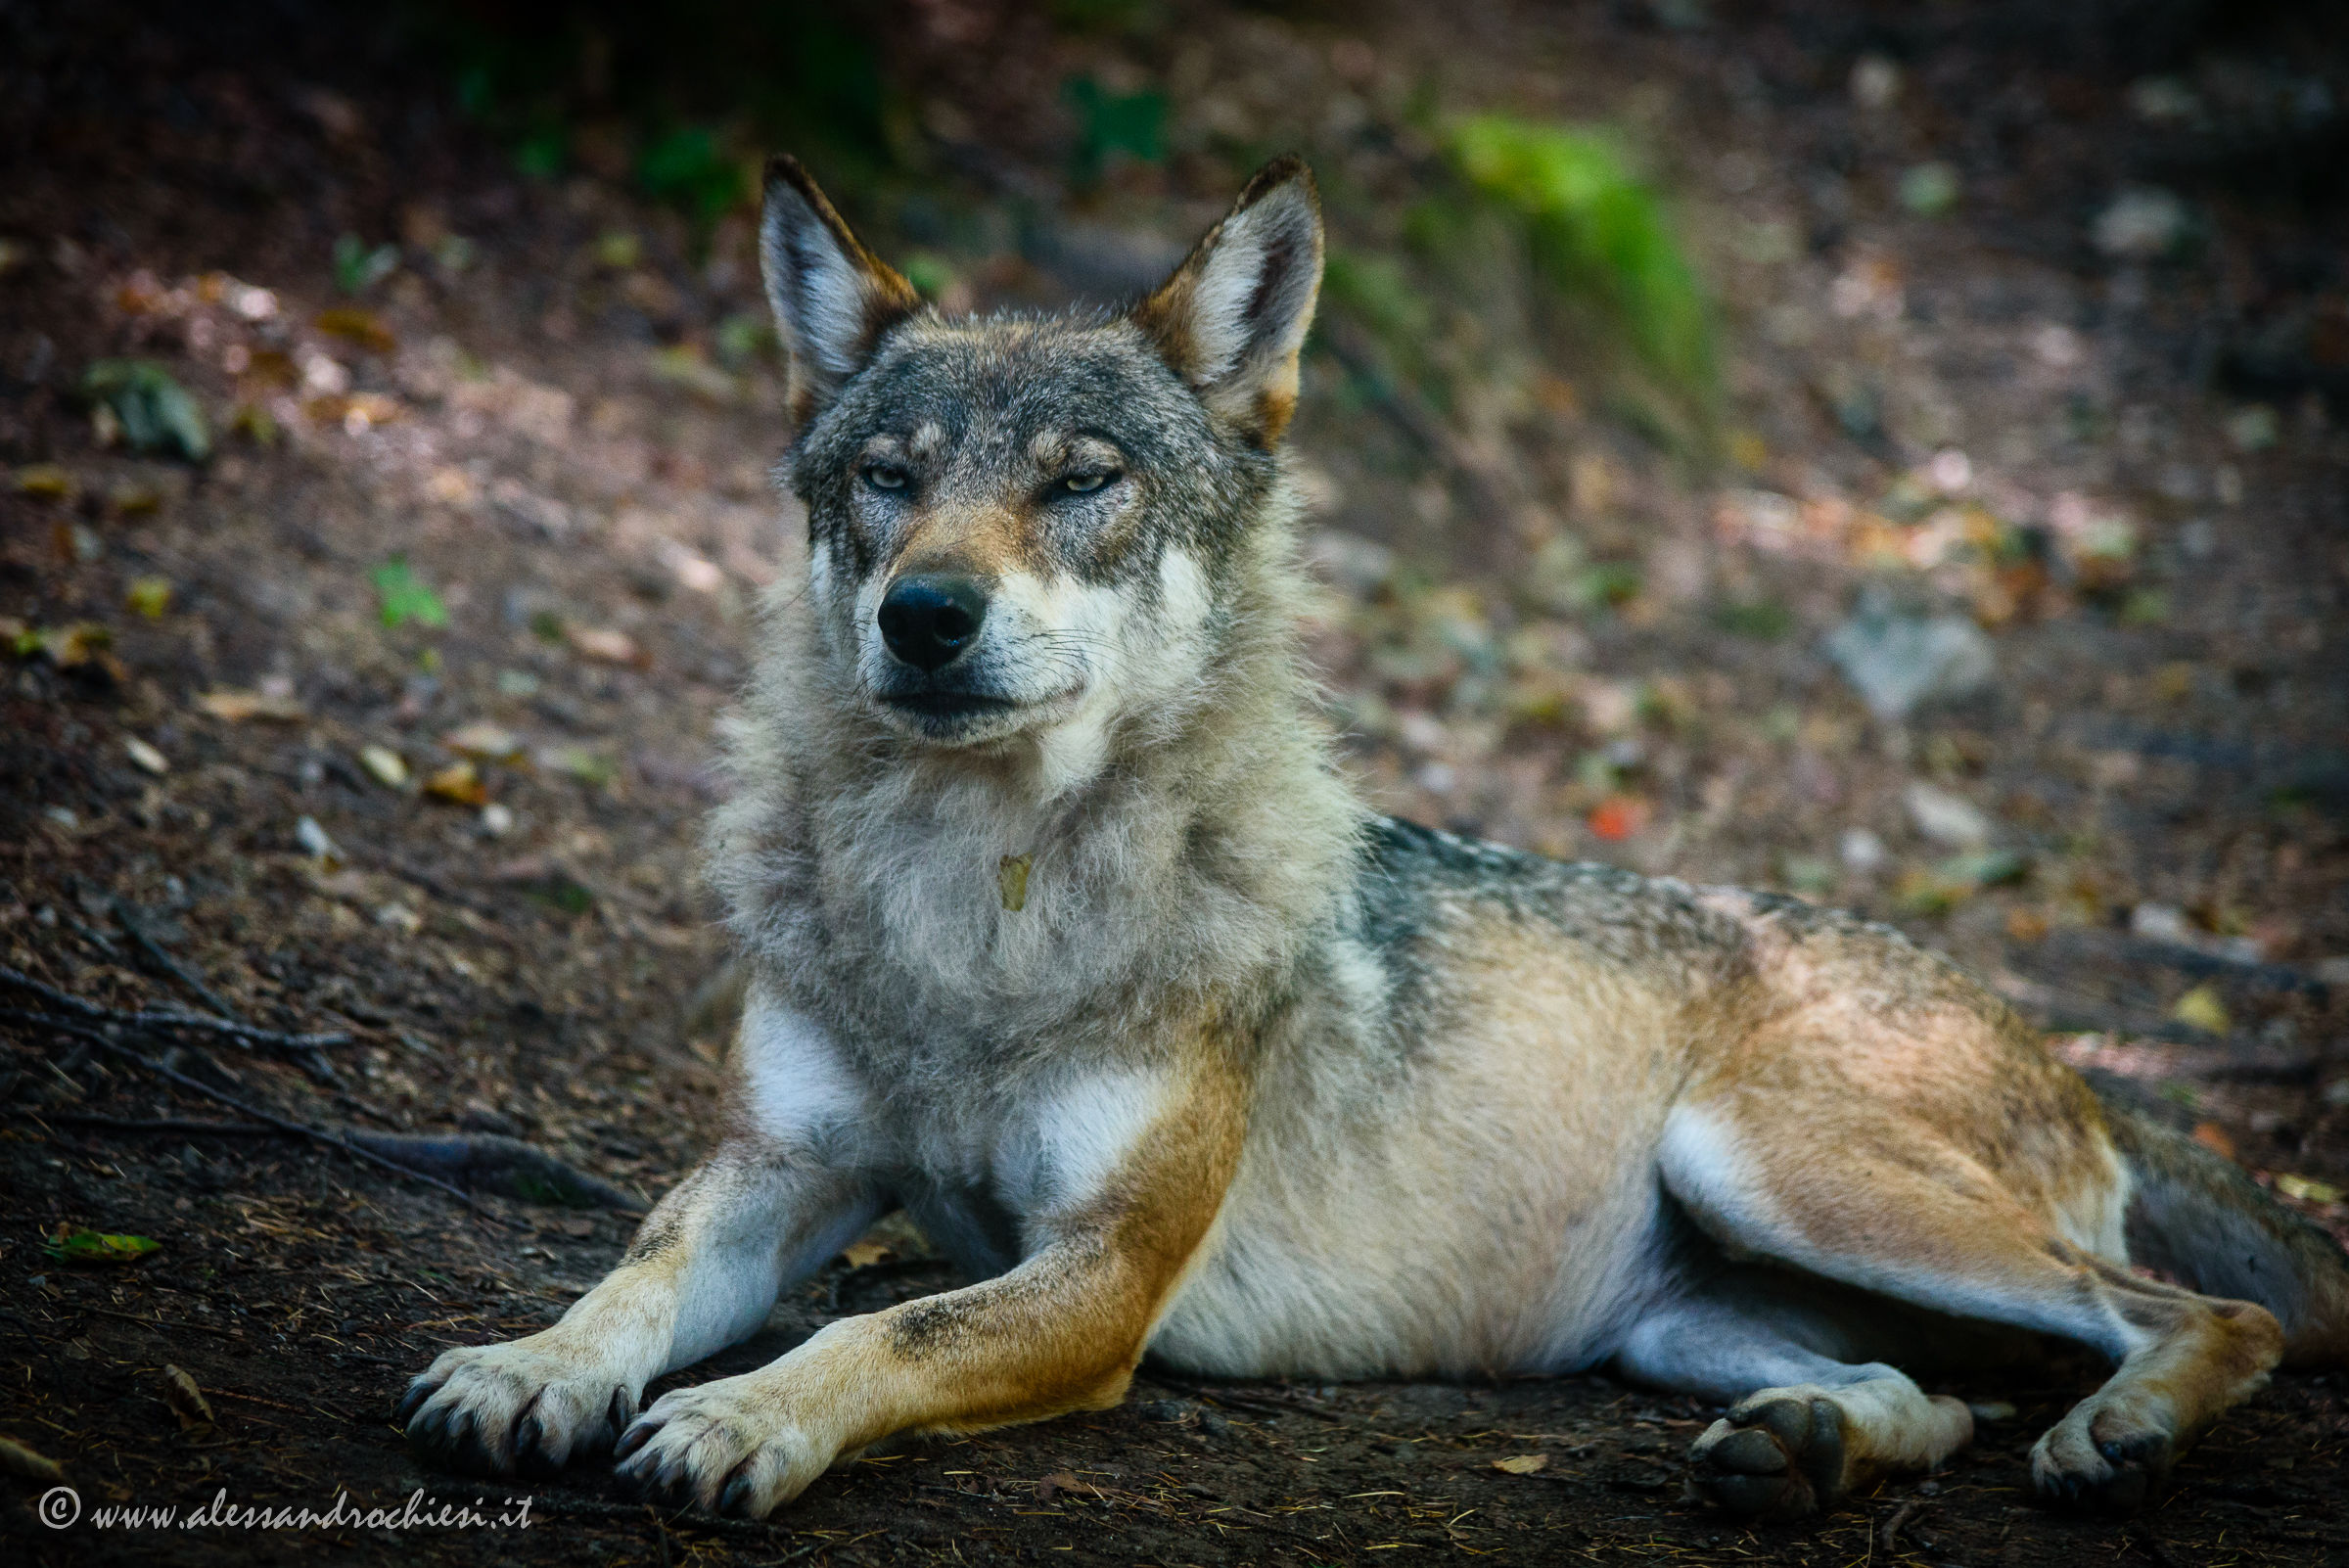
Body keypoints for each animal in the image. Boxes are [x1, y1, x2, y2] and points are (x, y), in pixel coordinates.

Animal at [399, 154, 2349, 1523]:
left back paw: (2118, 1432)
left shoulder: (1103, 1274)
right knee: (1933, 1400)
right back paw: (1798, 1448)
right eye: (889, 478)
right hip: (1696, 1303)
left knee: (2198, 1316)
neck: (981, 899)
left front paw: (739, 1412)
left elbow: (879, 1325)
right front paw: (527, 1366)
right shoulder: (780, 1169)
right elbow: (636, 1275)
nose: (926, 616)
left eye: (1082, 481)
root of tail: (2067, 1052)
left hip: (1778, 1162)